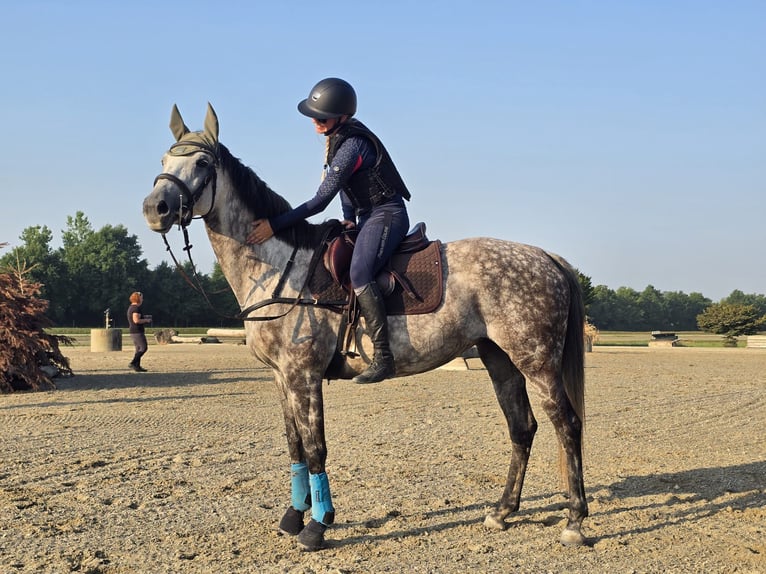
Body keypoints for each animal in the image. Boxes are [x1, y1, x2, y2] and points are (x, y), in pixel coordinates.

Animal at [142, 103, 589, 552]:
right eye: (162, 161)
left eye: (202, 162)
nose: (154, 209)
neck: (279, 266)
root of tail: (545, 257)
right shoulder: (280, 377)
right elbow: (294, 446)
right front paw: (293, 516)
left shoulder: (304, 375)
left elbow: (316, 448)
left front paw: (317, 525)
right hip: (499, 358)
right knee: (522, 427)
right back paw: (502, 512)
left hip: (537, 361)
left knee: (566, 424)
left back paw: (574, 520)